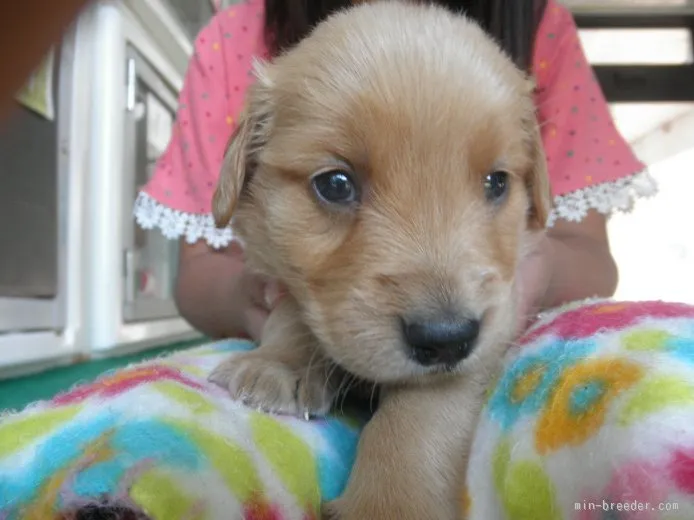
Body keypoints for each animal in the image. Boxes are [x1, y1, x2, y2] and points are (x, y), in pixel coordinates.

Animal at [209, 2, 552, 516]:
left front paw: (389, 502)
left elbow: (419, 415)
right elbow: (292, 313)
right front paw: (281, 363)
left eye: (497, 182)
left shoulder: (490, 329)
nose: (447, 338)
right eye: (335, 184)